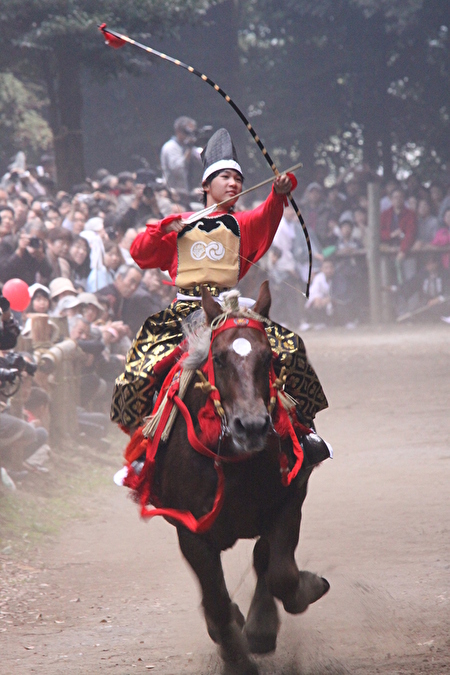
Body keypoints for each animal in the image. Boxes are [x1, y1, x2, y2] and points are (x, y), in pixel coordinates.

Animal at [128, 282, 328, 675]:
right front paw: (237, 655)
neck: (234, 462)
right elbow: (217, 600)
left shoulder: (288, 500)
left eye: (268, 357)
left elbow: (280, 572)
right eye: (218, 358)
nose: (250, 426)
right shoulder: (190, 530)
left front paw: (272, 619)